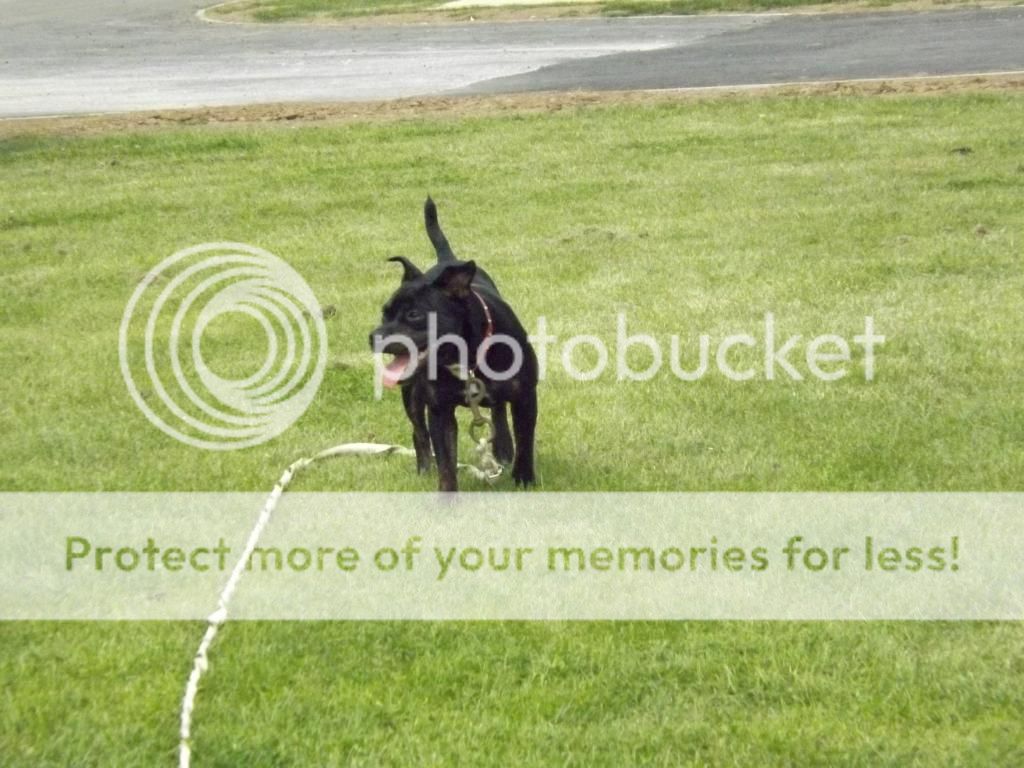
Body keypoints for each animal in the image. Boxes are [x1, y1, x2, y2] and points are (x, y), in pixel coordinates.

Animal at [372, 198, 540, 493]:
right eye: (384, 313)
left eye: (414, 314)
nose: (373, 336)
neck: (468, 357)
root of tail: (448, 261)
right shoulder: (440, 411)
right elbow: (446, 462)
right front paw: (446, 496)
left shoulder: (526, 397)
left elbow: (525, 443)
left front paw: (524, 479)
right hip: (412, 395)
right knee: (419, 433)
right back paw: (424, 467)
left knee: (498, 413)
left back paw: (503, 450)